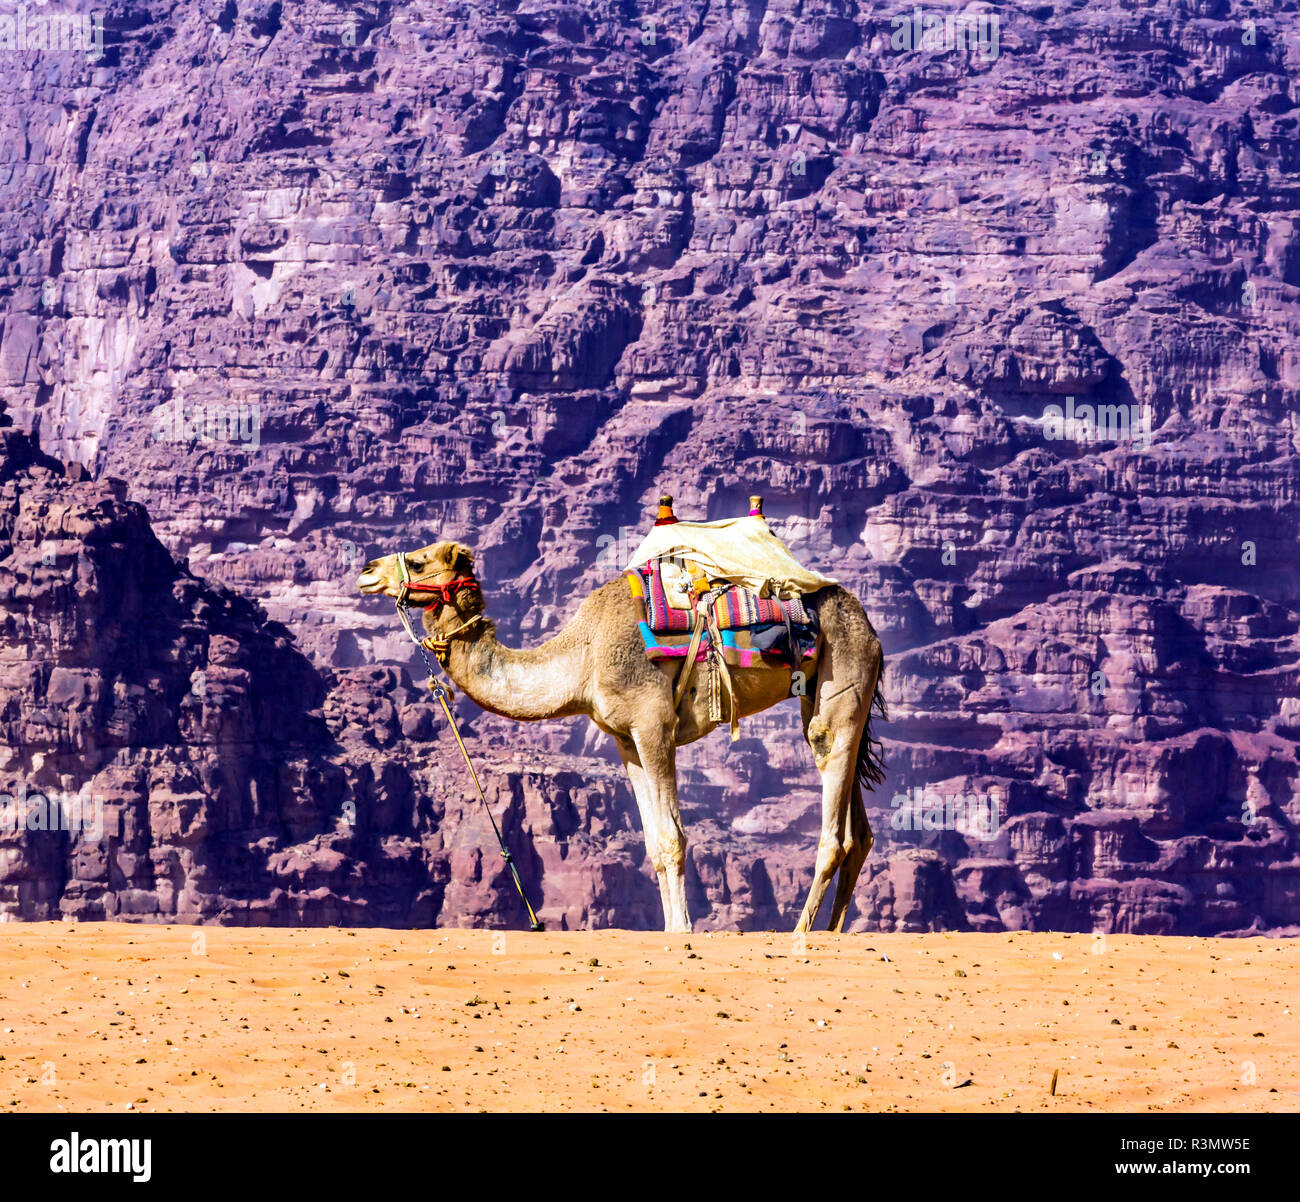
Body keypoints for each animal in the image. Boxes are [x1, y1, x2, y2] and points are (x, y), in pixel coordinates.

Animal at [356, 530, 883, 935]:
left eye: (419, 560)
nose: (366, 570)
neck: (583, 660)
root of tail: (870, 628)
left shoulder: (654, 725)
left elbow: (672, 838)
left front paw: (682, 931)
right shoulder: (625, 738)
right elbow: (652, 844)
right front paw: (671, 927)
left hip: (843, 675)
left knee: (832, 811)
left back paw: (801, 932)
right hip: (831, 695)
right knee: (859, 833)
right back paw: (833, 932)